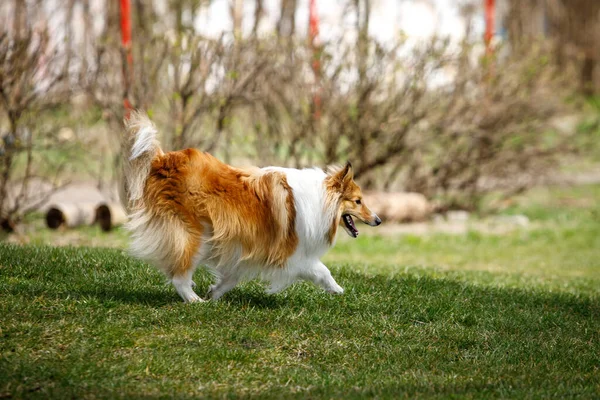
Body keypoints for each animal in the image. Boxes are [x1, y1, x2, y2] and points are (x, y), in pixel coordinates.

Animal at [121, 111, 382, 302]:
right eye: (358, 201)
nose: (378, 220)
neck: (321, 200)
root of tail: (162, 159)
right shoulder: (292, 254)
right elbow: (322, 271)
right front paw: (339, 291)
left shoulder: (242, 244)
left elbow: (231, 277)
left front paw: (215, 293)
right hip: (195, 233)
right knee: (179, 275)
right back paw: (194, 300)